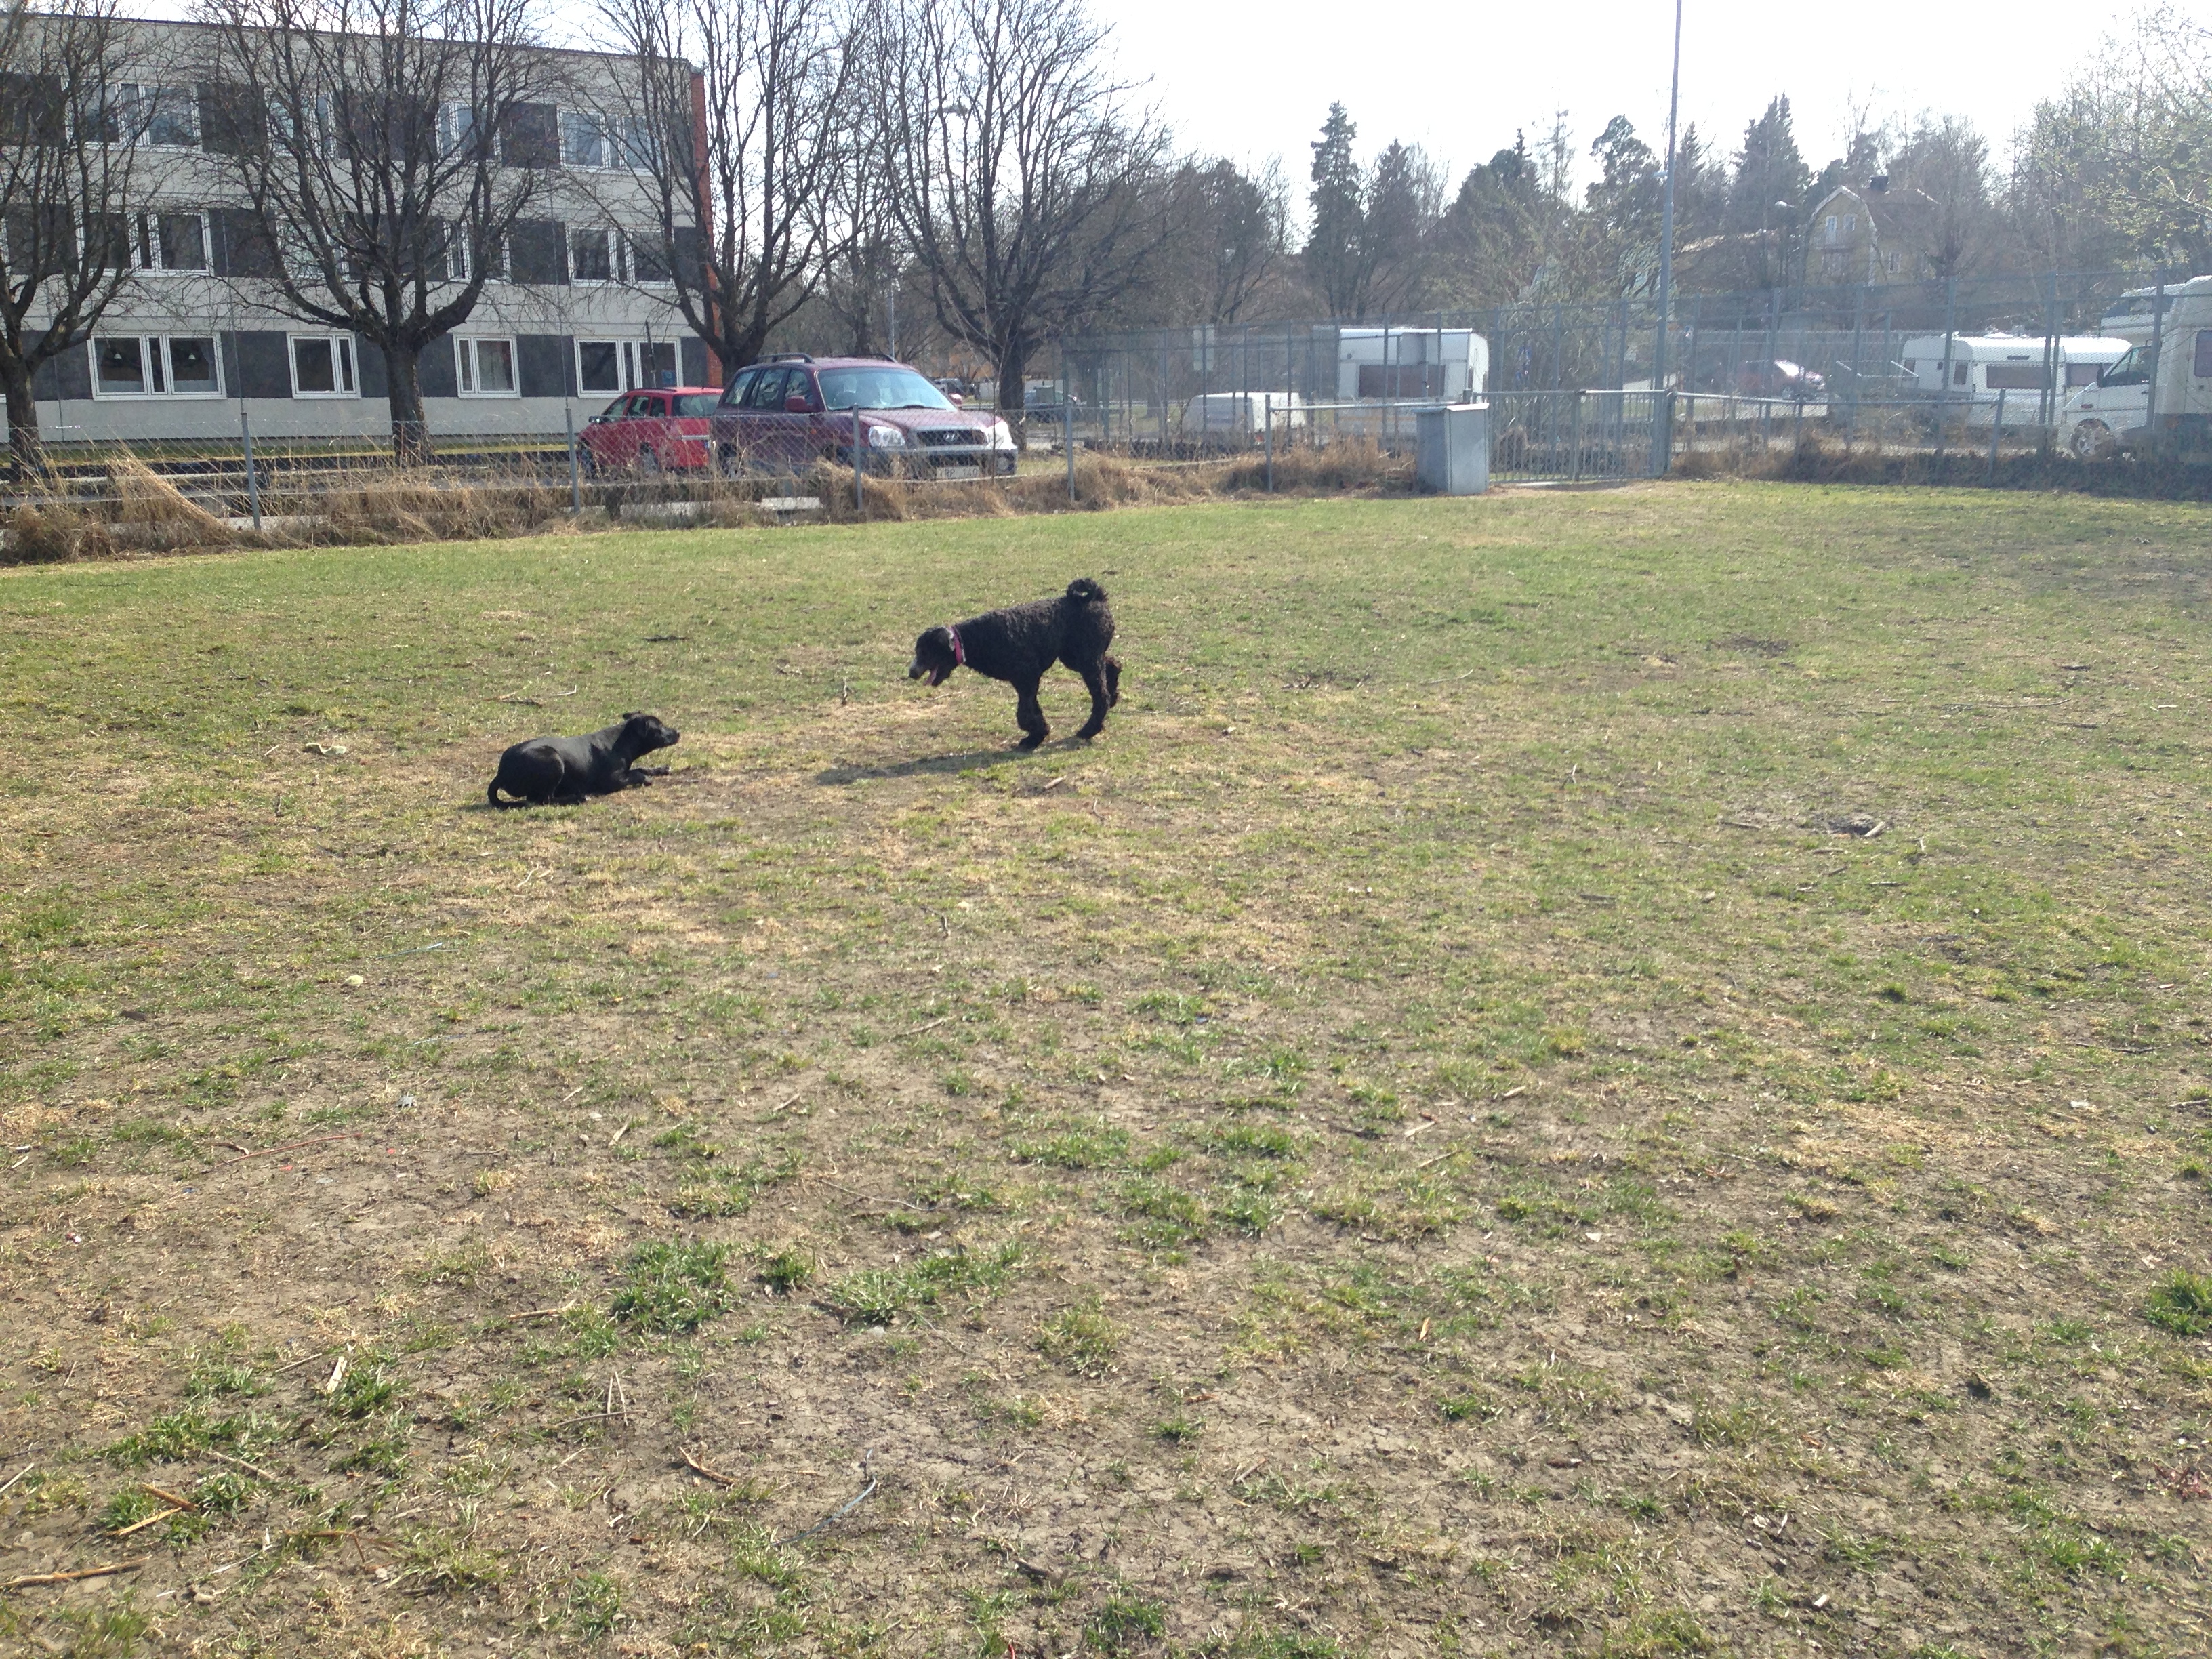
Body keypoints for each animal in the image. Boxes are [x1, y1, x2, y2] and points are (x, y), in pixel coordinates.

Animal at [486, 712, 680, 807]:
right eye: (659, 727)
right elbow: (637, 774)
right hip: (554, 760)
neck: (621, 740)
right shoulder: (613, 781)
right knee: (544, 799)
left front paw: (661, 769)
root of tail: (501, 773)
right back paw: (577, 798)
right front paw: (647, 779)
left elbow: (641, 768)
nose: (678, 732)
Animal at [909, 578, 1121, 750]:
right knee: (1113, 666)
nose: (911, 672)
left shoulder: (1028, 677)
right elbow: (1032, 709)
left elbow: (1024, 714)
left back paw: (1090, 729)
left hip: (1086, 660)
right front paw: (1037, 734)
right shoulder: (1024, 682)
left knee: (1100, 695)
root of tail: (1097, 598)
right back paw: (1113, 698)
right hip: (1077, 658)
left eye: (924, 651)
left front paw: (1035, 735)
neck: (975, 638)